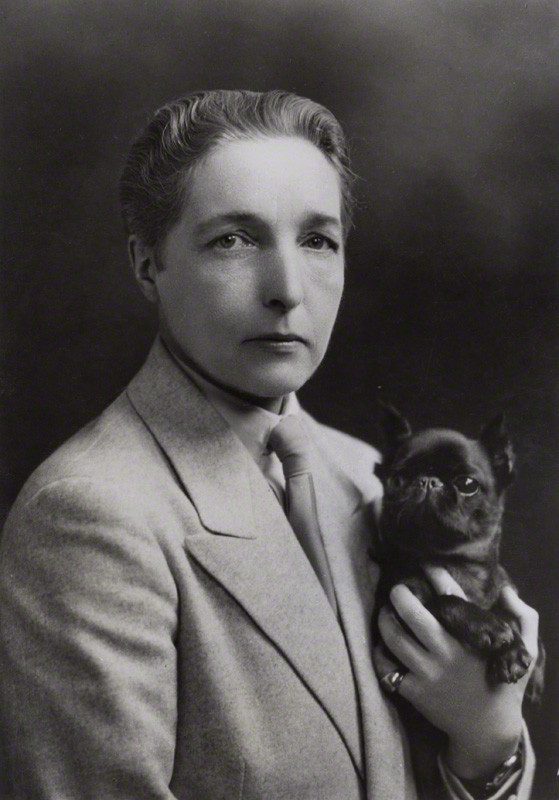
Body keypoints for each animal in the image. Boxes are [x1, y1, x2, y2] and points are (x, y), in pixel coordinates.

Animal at [376, 404, 544, 692]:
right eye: (396, 480)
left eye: (467, 485)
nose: (428, 481)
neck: (457, 564)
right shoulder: (400, 609)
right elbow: (441, 600)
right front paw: (486, 625)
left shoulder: (509, 595)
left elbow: (510, 616)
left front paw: (511, 652)